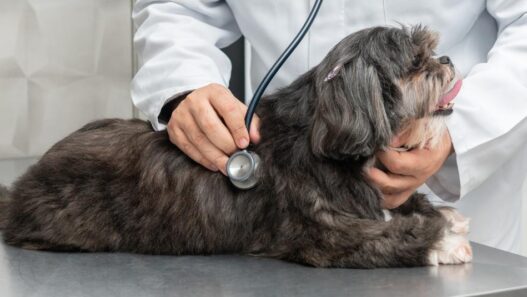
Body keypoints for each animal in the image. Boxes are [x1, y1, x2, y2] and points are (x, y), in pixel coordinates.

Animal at [0, 25, 470, 266]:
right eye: (416, 63)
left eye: (432, 51)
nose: (446, 60)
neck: (322, 134)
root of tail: (21, 187)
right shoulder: (321, 234)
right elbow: (391, 237)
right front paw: (443, 242)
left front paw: (441, 213)